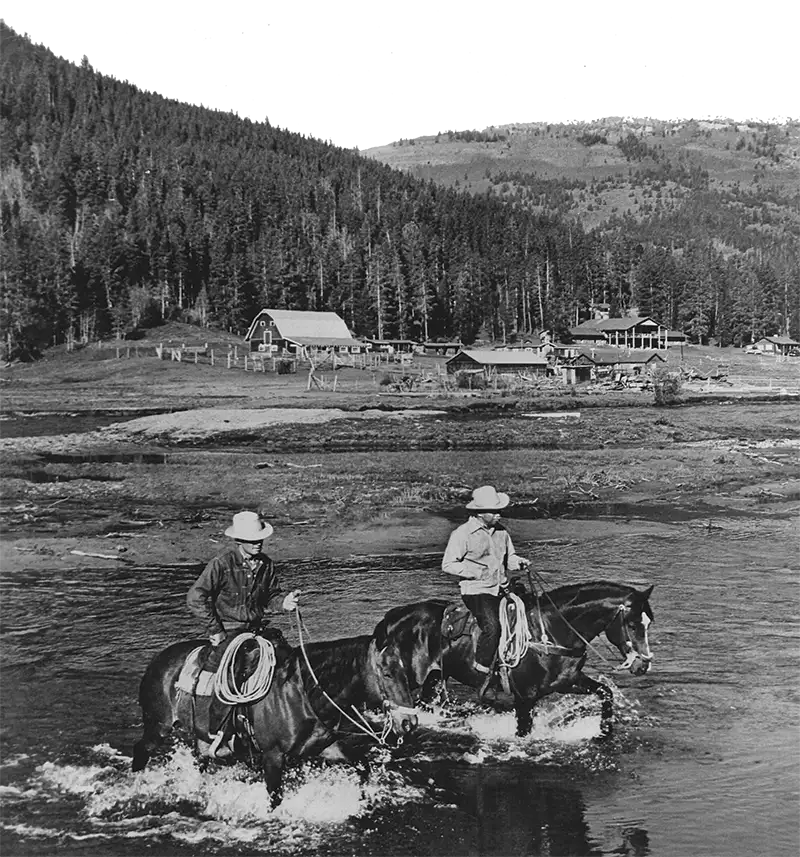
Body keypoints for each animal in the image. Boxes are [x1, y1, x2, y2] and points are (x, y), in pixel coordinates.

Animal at [131, 628, 418, 808]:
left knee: (200, 759)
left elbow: (362, 765)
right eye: (387, 673)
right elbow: (275, 798)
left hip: (201, 738)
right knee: (141, 750)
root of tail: (159, 661)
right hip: (158, 726)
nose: (409, 722)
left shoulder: (325, 745)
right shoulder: (272, 756)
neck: (301, 693)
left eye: (407, 671)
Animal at [372, 580, 652, 740]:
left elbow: (605, 693)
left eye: (649, 622)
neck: (550, 631)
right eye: (633, 624)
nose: (643, 664)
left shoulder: (568, 681)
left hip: (434, 679)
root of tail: (395, 616)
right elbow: (523, 732)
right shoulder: (525, 697)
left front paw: (604, 732)